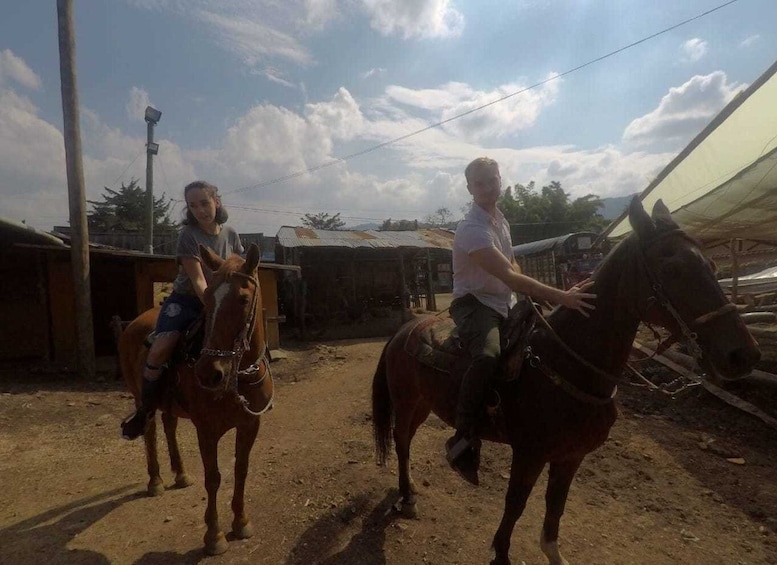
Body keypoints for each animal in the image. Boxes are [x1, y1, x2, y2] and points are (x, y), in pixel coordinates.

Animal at [116, 242, 272, 556]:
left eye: (242, 299)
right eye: (208, 298)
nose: (209, 373)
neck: (237, 377)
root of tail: (132, 324)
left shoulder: (250, 425)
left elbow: (241, 469)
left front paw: (241, 522)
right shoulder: (207, 431)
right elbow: (213, 478)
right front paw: (214, 536)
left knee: (169, 426)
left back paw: (180, 474)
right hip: (140, 397)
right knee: (150, 431)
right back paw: (156, 480)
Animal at [372, 198, 760, 564]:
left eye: (711, 266)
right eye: (673, 269)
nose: (744, 356)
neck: (569, 363)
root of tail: (403, 331)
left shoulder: (571, 456)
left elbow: (555, 505)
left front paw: (553, 552)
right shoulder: (530, 454)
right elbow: (515, 505)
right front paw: (501, 554)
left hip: (423, 405)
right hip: (406, 404)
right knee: (401, 442)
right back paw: (407, 497)